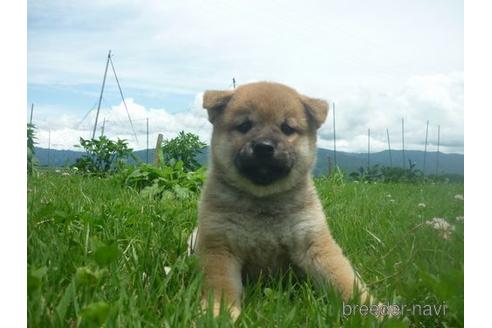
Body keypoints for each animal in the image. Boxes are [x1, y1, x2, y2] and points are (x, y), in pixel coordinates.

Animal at [196, 82, 368, 320]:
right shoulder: (219, 247)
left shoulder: (314, 243)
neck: (263, 200)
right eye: (244, 125)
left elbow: (344, 279)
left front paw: (374, 311)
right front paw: (218, 315)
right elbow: (220, 288)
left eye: (287, 128)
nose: (264, 146)